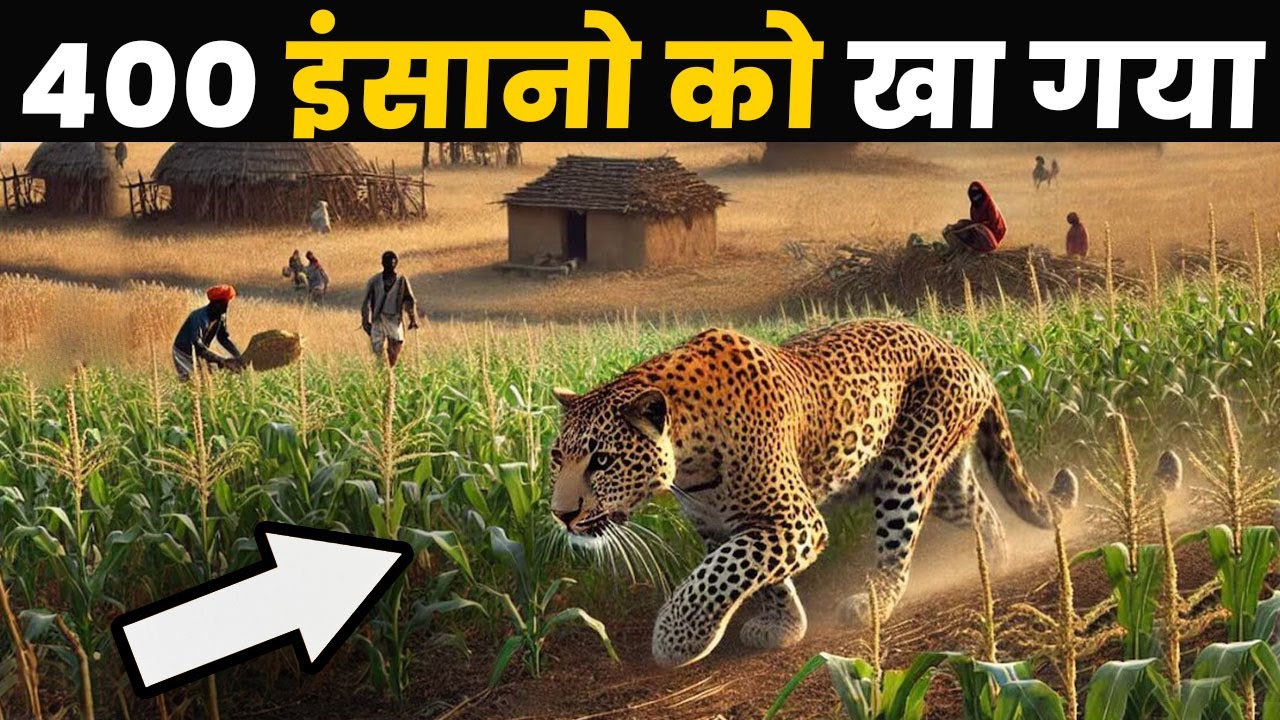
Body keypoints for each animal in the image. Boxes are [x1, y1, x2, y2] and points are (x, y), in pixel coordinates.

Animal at [547, 317, 1078, 669]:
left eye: (602, 461)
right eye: (556, 457)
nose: (560, 514)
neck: (687, 453)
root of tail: (970, 358)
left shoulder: (796, 521)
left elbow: (719, 574)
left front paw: (678, 639)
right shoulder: (723, 524)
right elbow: (753, 572)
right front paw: (783, 627)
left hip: (905, 472)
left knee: (898, 548)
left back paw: (873, 603)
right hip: (943, 474)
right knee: (980, 505)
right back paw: (994, 564)